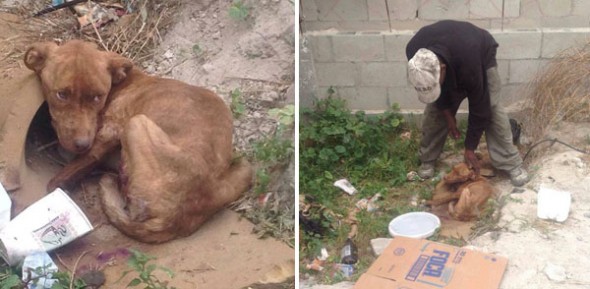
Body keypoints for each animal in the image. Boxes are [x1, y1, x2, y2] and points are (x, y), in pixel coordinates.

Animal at [23, 40, 254, 243]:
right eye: (61, 94)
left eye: (98, 97)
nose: (82, 144)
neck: (121, 83)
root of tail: (175, 221)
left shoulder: (108, 133)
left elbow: (73, 168)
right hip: (244, 166)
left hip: (136, 122)